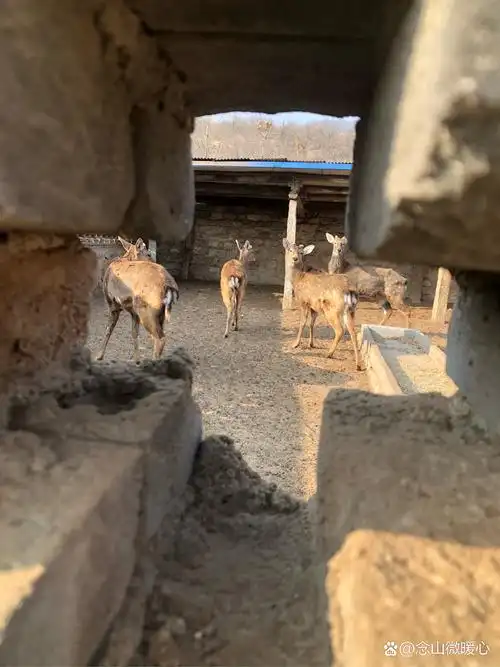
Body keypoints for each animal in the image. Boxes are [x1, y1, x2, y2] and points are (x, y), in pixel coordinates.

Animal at [282, 238, 362, 370]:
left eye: (301, 252)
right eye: (290, 250)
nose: (295, 258)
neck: (298, 279)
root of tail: (349, 290)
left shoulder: (303, 301)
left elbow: (302, 323)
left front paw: (295, 344)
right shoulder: (314, 307)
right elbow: (311, 324)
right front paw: (311, 344)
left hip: (331, 309)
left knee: (340, 330)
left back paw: (329, 354)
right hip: (351, 310)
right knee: (353, 332)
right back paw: (358, 365)